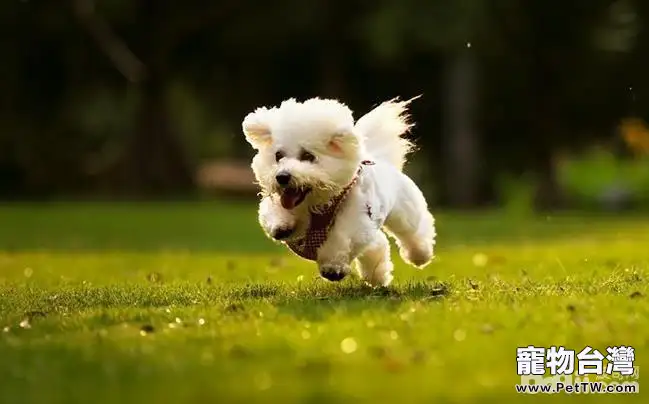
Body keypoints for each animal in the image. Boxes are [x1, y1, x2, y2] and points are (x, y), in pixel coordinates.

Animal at [242, 97, 436, 288]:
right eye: (278, 156)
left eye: (308, 156)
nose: (282, 177)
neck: (318, 203)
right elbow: (275, 212)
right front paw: (282, 225)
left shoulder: (354, 219)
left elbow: (341, 238)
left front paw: (332, 267)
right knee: (378, 244)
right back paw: (377, 276)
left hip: (404, 211)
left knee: (413, 230)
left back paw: (420, 255)